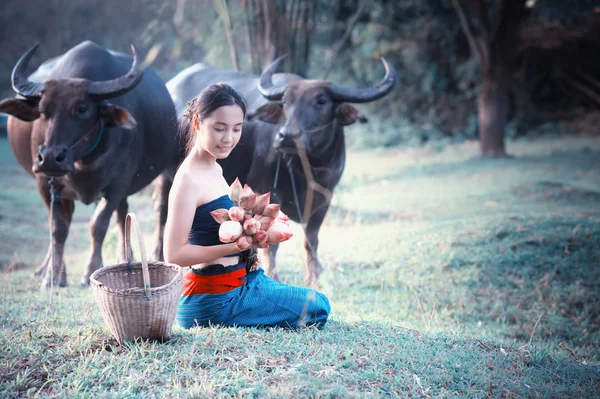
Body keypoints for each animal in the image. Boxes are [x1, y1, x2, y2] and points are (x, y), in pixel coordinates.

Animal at [0, 40, 178, 288]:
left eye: (82, 108)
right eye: (43, 111)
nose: (50, 157)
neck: (83, 159)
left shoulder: (118, 182)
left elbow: (98, 225)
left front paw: (90, 271)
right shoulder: (44, 181)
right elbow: (57, 228)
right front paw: (53, 277)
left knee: (143, 212)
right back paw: (46, 270)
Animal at [166, 57, 396, 288]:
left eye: (321, 101)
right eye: (286, 101)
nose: (286, 136)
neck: (306, 170)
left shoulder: (324, 199)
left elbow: (311, 241)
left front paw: (313, 278)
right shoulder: (267, 192)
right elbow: (271, 246)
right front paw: (273, 275)